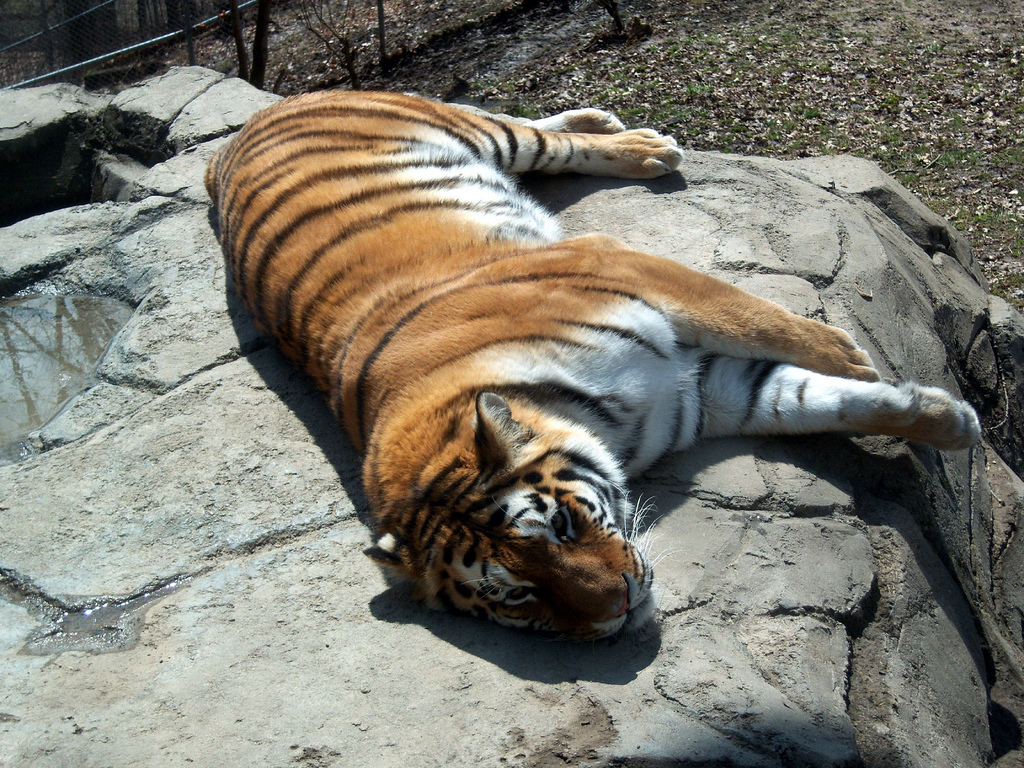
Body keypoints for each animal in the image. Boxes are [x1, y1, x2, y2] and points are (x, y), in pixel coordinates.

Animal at [204, 91, 980, 640]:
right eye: (519, 595)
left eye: (562, 529)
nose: (620, 606)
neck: (606, 423)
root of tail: (233, 139)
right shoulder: (706, 393)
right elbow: (811, 400)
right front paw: (946, 418)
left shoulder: (623, 267)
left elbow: (763, 321)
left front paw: (860, 360)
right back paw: (614, 123)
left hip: (466, 130)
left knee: (528, 129)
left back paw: (641, 144)